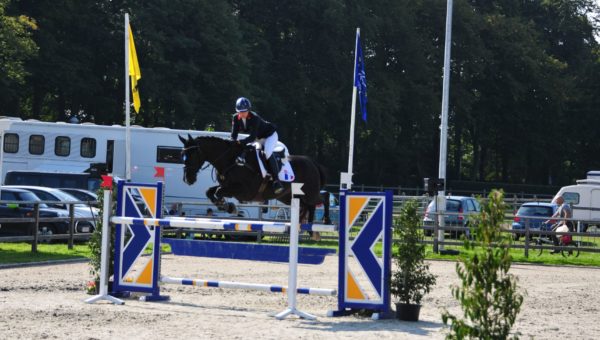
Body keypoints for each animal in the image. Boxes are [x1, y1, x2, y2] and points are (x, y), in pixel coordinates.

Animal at [178, 135, 330, 234]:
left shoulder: (244, 190)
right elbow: (210, 191)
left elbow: (218, 191)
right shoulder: (229, 186)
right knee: (307, 206)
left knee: (322, 197)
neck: (230, 160)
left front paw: (229, 207)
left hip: (309, 193)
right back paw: (305, 226)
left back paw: (323, 222)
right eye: (182, 154)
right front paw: (226, 206)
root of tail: (313, 162)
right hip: (288, 196)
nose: (188, 179)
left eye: (192, 155)